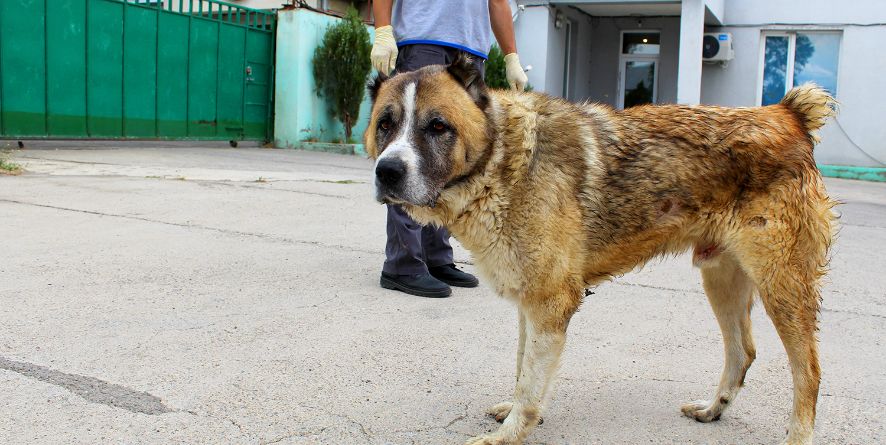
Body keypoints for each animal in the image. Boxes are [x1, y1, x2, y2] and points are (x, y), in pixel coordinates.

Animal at [364, 56, 836, 444]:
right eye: (385, 124)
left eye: (437, 126)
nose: (386, 172)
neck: (504, 161)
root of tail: (787, 114)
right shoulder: (530, 302)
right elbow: (522, 367)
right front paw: (512, 412)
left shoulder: (551, 303)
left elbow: (530, 383)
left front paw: (510, 433)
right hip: (721, 279)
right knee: (742, 351)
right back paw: (711, 410)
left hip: (782, 286)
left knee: (809, 371)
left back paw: (797, 434)